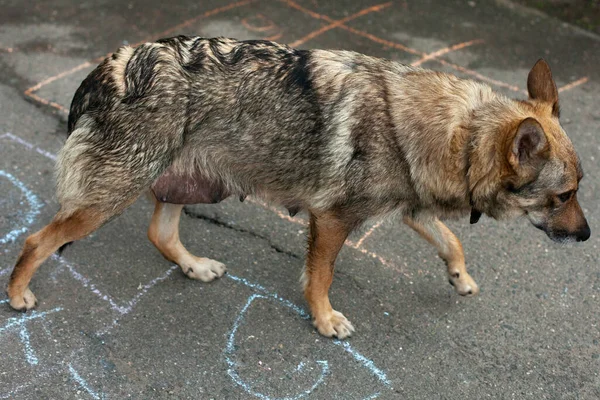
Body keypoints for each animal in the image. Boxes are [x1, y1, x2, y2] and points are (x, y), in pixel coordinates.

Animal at [7, 36, 592, 338]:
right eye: (564, 196)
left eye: (581, 188)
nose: (587, 237)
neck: (460, 133)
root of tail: (110, 67)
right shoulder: (333, 218)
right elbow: (320, 277)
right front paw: (324, 319)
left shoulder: (412, 208)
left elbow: (453, 242)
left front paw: (460, 277)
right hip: (110, 199)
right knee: (37, 240)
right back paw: (16, 294)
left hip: (192, 186)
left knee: (160, 233)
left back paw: (195, 266)